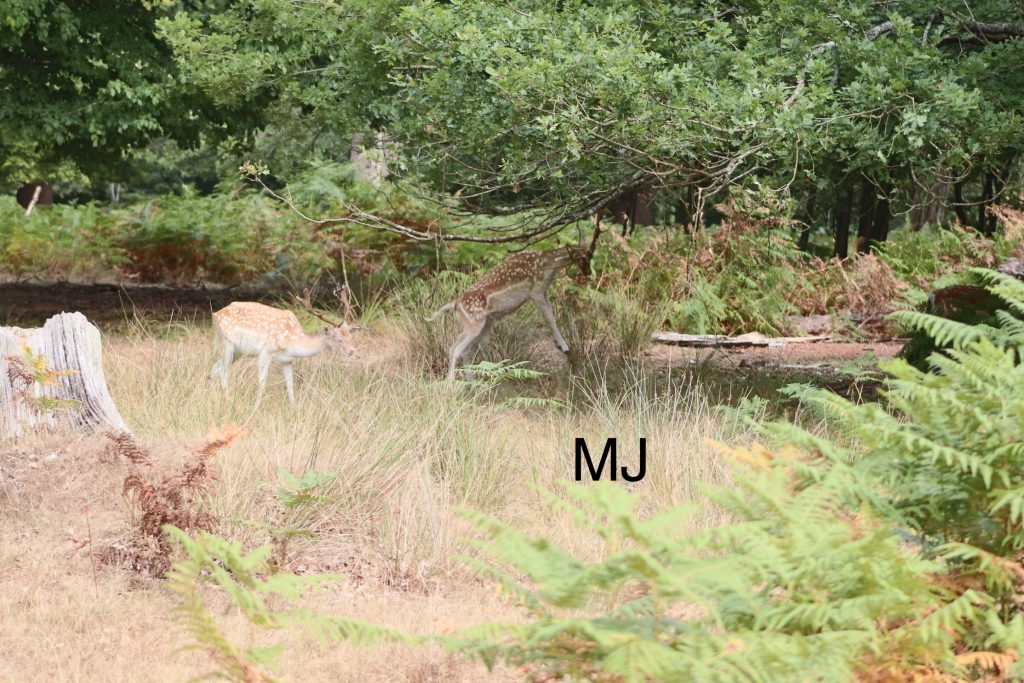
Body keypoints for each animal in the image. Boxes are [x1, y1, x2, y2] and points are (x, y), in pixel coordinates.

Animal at [210, 289, 357, 405]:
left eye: (350, 337)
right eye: (338, 339)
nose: (352, 351)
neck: (293, 341)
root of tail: (215, 314)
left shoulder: (287, 360)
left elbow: (290, 384)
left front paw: (293, 408)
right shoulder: (266, 351)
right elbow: (262, 382)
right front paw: (256, 407)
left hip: (237, 352)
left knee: (216, 368)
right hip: (226, 343)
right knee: (224, 373)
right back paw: (228, 399)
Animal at [426, 244, 591, 380]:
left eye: (590, 255)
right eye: (582, 258)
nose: (588, 272)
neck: (547, 264)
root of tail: (455, 304)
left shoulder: (543, 291)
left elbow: (551, 314)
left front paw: (560, 344)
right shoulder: (535, 291)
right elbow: (550, 317)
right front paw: (564, 346)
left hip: (482, 326)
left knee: (460, 348)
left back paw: (471, 383)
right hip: (475, 325)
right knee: (456, 349)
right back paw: (452, 383)